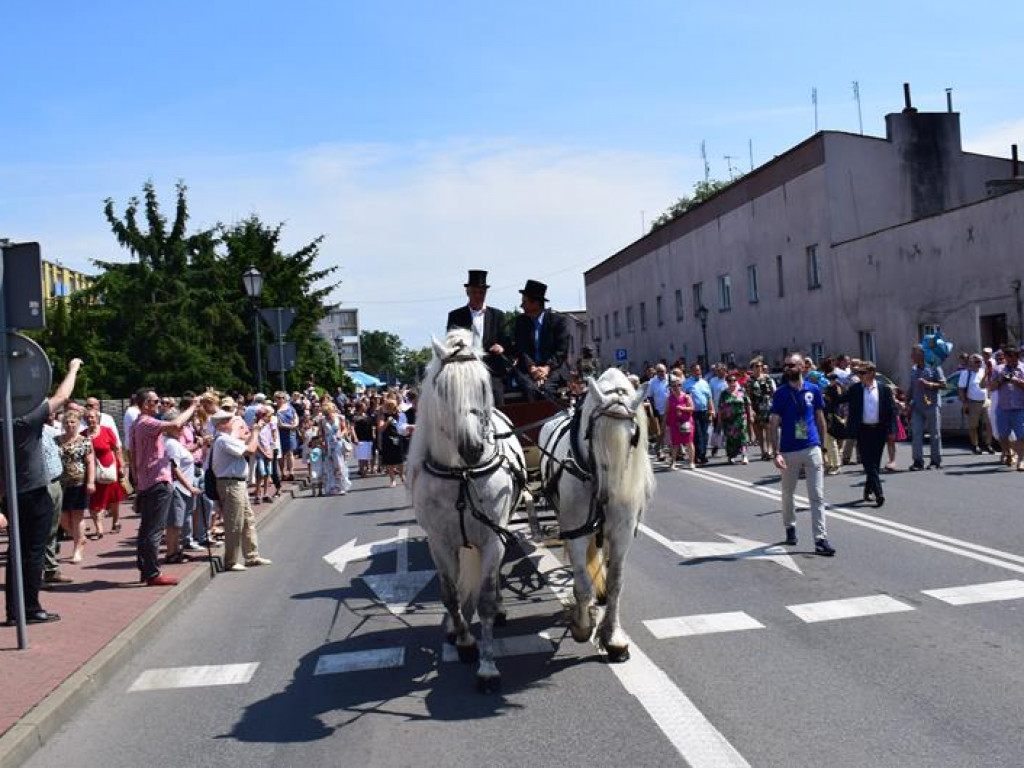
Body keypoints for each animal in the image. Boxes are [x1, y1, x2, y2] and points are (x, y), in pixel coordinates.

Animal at [405, 327, 528, 696]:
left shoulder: (492, 537)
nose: (472, 447)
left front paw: (487, 668)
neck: (461, 473)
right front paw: (463, 640)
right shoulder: (439, 542)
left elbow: (485, 597)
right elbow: (449, 594)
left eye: (484, 384)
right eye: (442, 389)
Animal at [536, 368, 655, 663]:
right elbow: (581, 583)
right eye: (591, 435)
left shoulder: (622, 533)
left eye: (633, 438)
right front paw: (582, 626)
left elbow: (616, 583)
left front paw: (613, 638)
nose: (606, 499)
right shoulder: (576, 531)